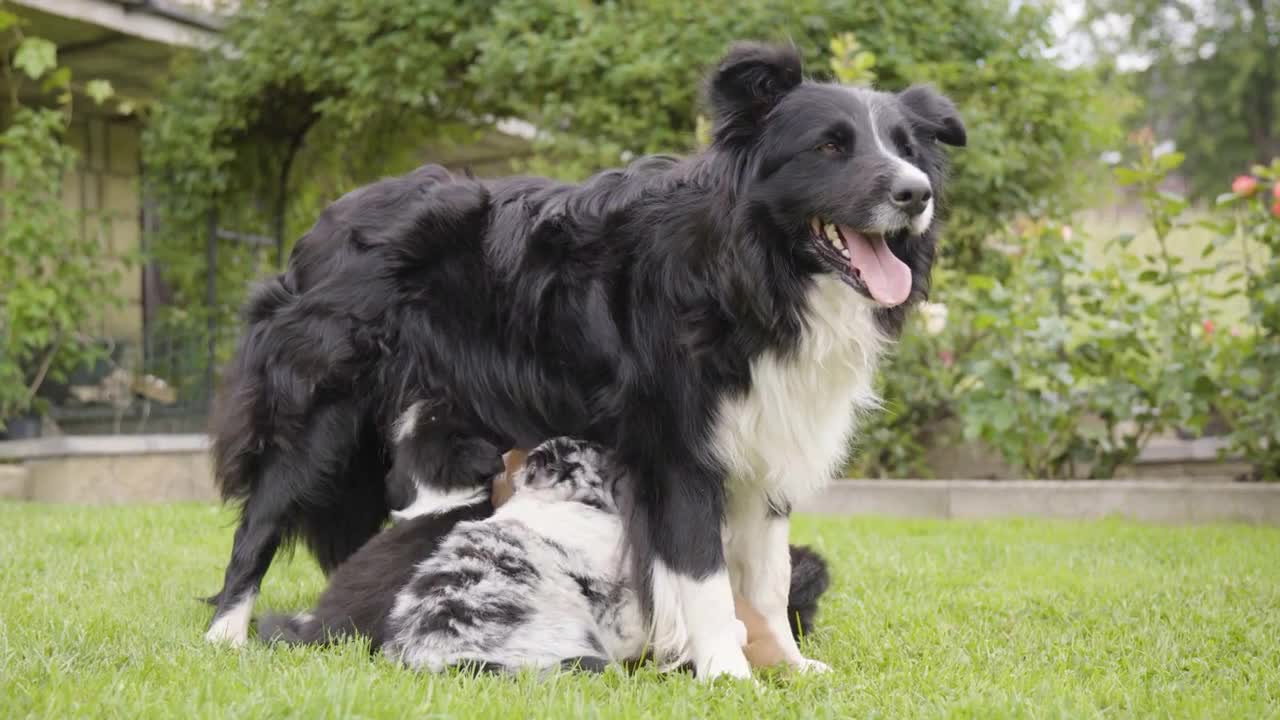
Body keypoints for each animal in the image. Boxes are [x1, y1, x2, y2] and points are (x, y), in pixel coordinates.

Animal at [204, 41, 962, 676]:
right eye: (830, 146)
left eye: (907, 148)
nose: (916, 194)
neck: (753, 271)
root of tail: (324, 222)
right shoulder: (675, 441)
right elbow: (704, 572)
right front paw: (727, 673)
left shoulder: (765, 434)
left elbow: (767, 576)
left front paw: (790, 667)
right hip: (322, 402)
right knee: (264, 515)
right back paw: (225, 635)